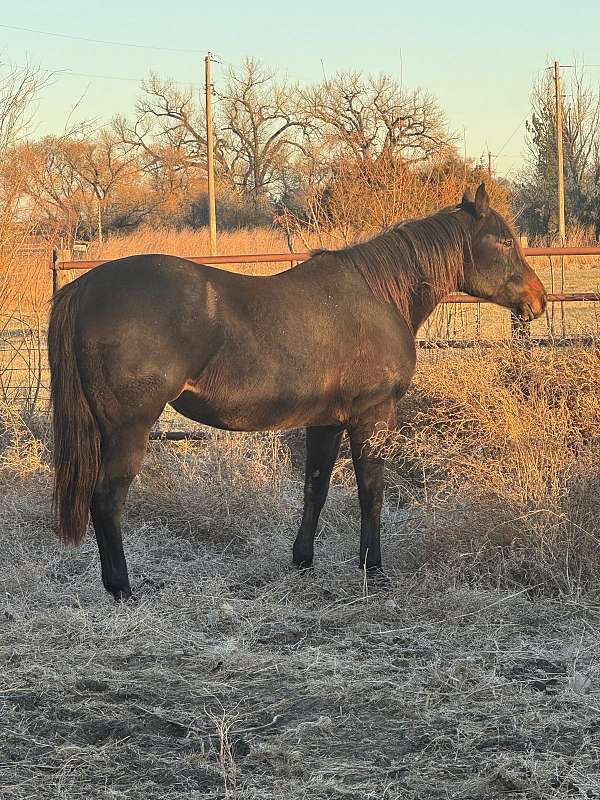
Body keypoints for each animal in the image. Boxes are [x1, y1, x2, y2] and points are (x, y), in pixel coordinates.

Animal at [49, 183, 548, 600]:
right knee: (107, 500)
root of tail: (85, 286)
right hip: (128, 430)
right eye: (504, 242)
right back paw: (121, 589)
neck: (379, 295)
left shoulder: (325, 422)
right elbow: (371, 493)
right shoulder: (373, 416)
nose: (540, 299)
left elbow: (316, 489)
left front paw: (303, 561)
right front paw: (374, 570)